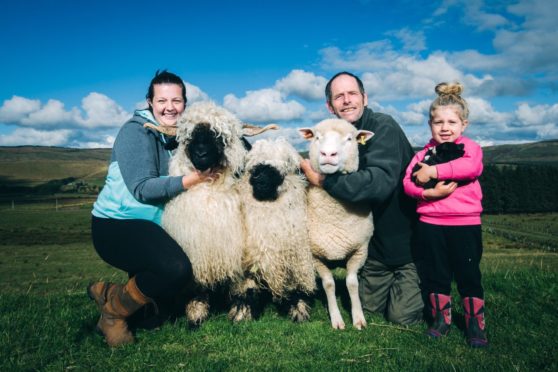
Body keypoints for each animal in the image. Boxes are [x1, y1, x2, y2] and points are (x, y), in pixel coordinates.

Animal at [231, 138, 320, 322]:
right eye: (253, 166)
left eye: (285, 166)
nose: (259, 180)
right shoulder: (248, 262)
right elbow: (247, 288)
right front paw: (243, 313)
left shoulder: (293, 258)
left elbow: (294, 288)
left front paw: (298, 310)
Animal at [300, 117, 374, 330]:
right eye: (317, 137)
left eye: (350, 139)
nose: (328, 154)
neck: (335, 217)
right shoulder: (315, 256)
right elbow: (329, 284)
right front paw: (337, 319)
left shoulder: (360, 250)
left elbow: (352, 283)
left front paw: (358, 318)